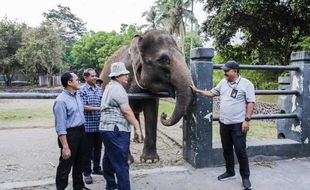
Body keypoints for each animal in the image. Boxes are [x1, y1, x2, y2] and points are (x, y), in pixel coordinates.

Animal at [99, 29, 193, 163]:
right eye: (163, 59)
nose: (164, 115)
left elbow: (151, 113)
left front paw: (150, 160)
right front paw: (127, 161)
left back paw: (139, 140)